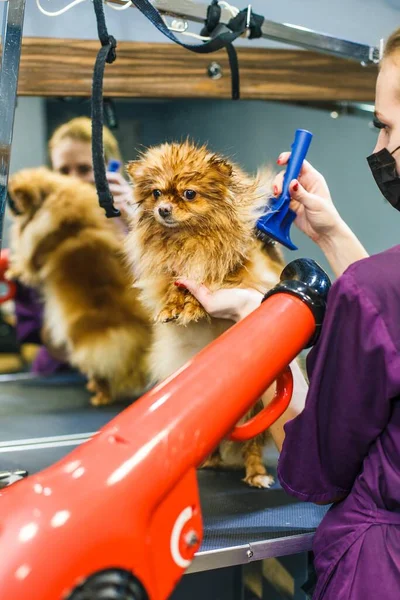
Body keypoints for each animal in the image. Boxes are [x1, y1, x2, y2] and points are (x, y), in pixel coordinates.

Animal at [7, 166, 152, 406]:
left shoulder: (36, 258)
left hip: (84, 342)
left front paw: (12, 270)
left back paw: (101, 396)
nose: (9, 202)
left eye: (12, 197)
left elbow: (27, 264)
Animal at [126, 141, 286, 488]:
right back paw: (208, 460)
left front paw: (193, 304)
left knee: (252, 445)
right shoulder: (170, 271)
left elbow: (213, 279)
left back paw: (256, 474)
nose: (163, 210)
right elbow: (174, 286)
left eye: (189, 194)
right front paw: (172, 307)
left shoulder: (232, 267)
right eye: (156, 193)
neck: (189, 237)